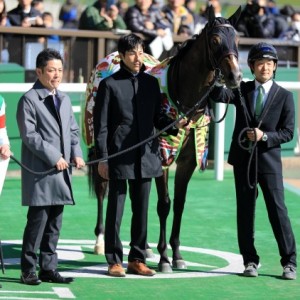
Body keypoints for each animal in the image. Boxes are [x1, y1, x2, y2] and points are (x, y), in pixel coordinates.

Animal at [83, 5, 243, 272]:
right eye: (215, 40)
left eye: (238, 40)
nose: (235, 76)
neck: (184, 100)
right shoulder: (162, 157)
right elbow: (164, 204)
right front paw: (164, 258)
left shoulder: (188, 159)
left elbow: (179, 203)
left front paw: (177, 254)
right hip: (100, 143)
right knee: (103, 187)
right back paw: (100, 240)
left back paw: (142, 248)